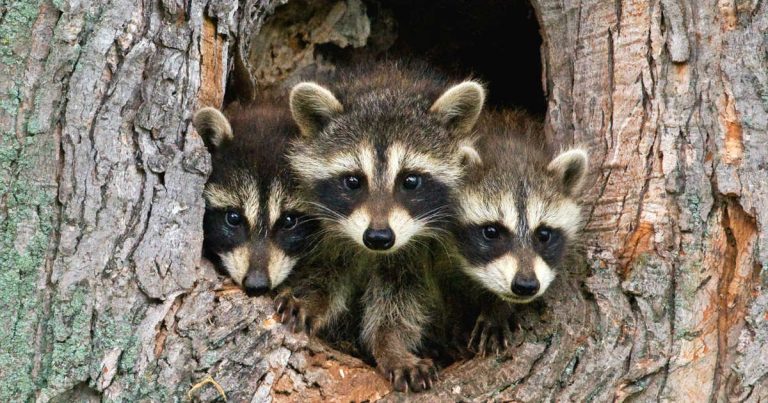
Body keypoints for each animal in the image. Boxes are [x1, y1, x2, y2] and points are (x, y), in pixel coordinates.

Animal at [276, 62, 485, 392]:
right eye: (353, 181)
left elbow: (400, 302)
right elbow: (325, 272)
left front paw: (391, 346)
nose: (378, 237)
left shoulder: (416, 252)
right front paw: (310, 299)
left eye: (410, 181)